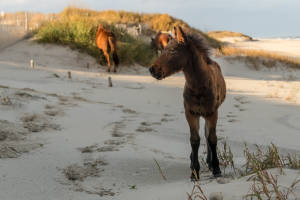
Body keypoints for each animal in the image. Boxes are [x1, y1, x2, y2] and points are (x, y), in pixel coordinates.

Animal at [149, 25, 226, 180]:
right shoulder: (190, 113)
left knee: (208, 135)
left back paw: (210, 162)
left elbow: (212, 139)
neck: (199, 86)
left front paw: (216, 169)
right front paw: (194, 171)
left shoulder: (212, 113)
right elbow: (194, 140)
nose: (152, 70)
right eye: (163, 49)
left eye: (173, 51)